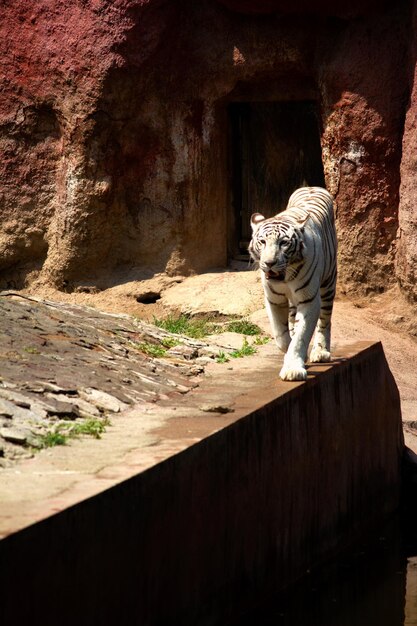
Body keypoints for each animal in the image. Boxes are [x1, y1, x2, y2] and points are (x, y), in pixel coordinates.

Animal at [249, 185, 336, 380]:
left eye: (283, 243)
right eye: (262, 241)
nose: (269, 263)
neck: (285, 278)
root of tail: (311, 187)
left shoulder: (309, 299)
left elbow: (301, 336)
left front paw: (293, 368)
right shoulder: (273, 299)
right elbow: (280, 335)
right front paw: (290, 352)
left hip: (328, 283)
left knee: (325, 320)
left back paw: (321, 352)